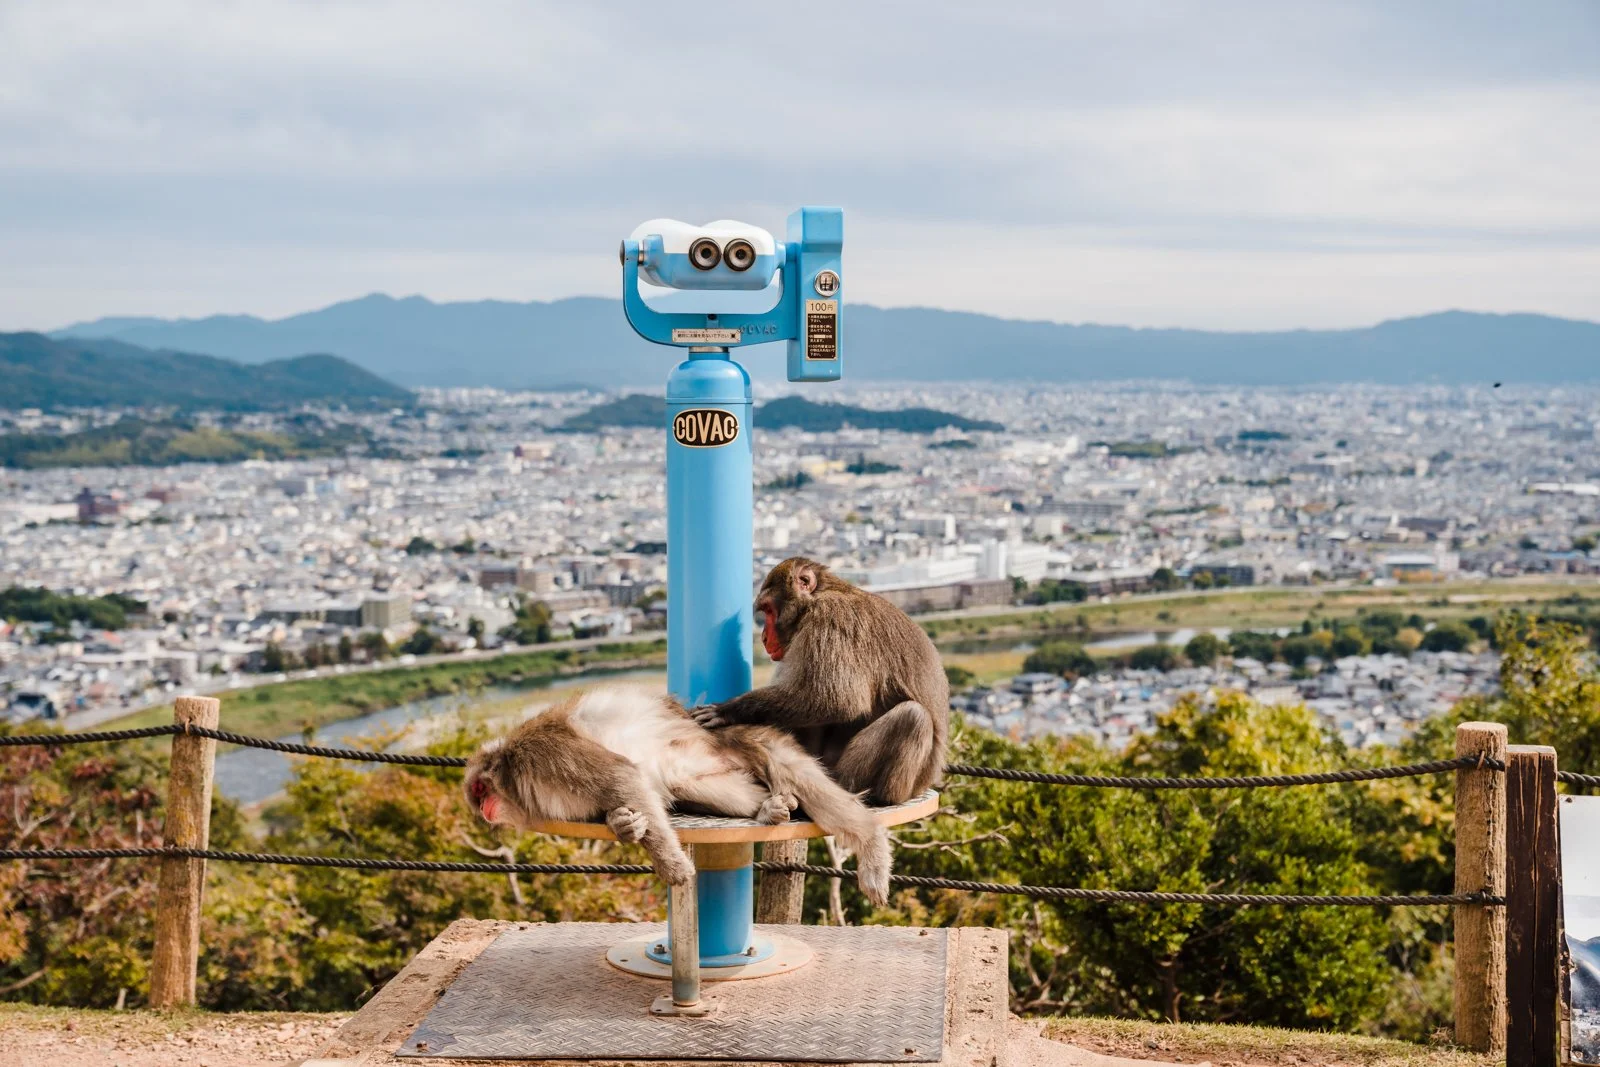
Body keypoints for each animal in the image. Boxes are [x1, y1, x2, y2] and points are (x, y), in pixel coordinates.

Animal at [463, 685, 892, 904]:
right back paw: (769, 809)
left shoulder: (545, 754)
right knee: (686, 783)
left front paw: (671, 866)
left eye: (480, 789)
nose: (483, 810)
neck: (514, 771)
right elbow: (622, 794)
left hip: (745, 736)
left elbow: (619, 775)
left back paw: (870, 843)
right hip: (711, 766)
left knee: (793, 772)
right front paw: (623, 825)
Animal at [692, 557, 949, 806]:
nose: (763, 636)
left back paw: (869, 795)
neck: (822, 595)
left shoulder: (829, 620)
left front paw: (728, 710)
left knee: (912, 717)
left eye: (768, 610)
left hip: (854, 775)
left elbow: (840, 701)